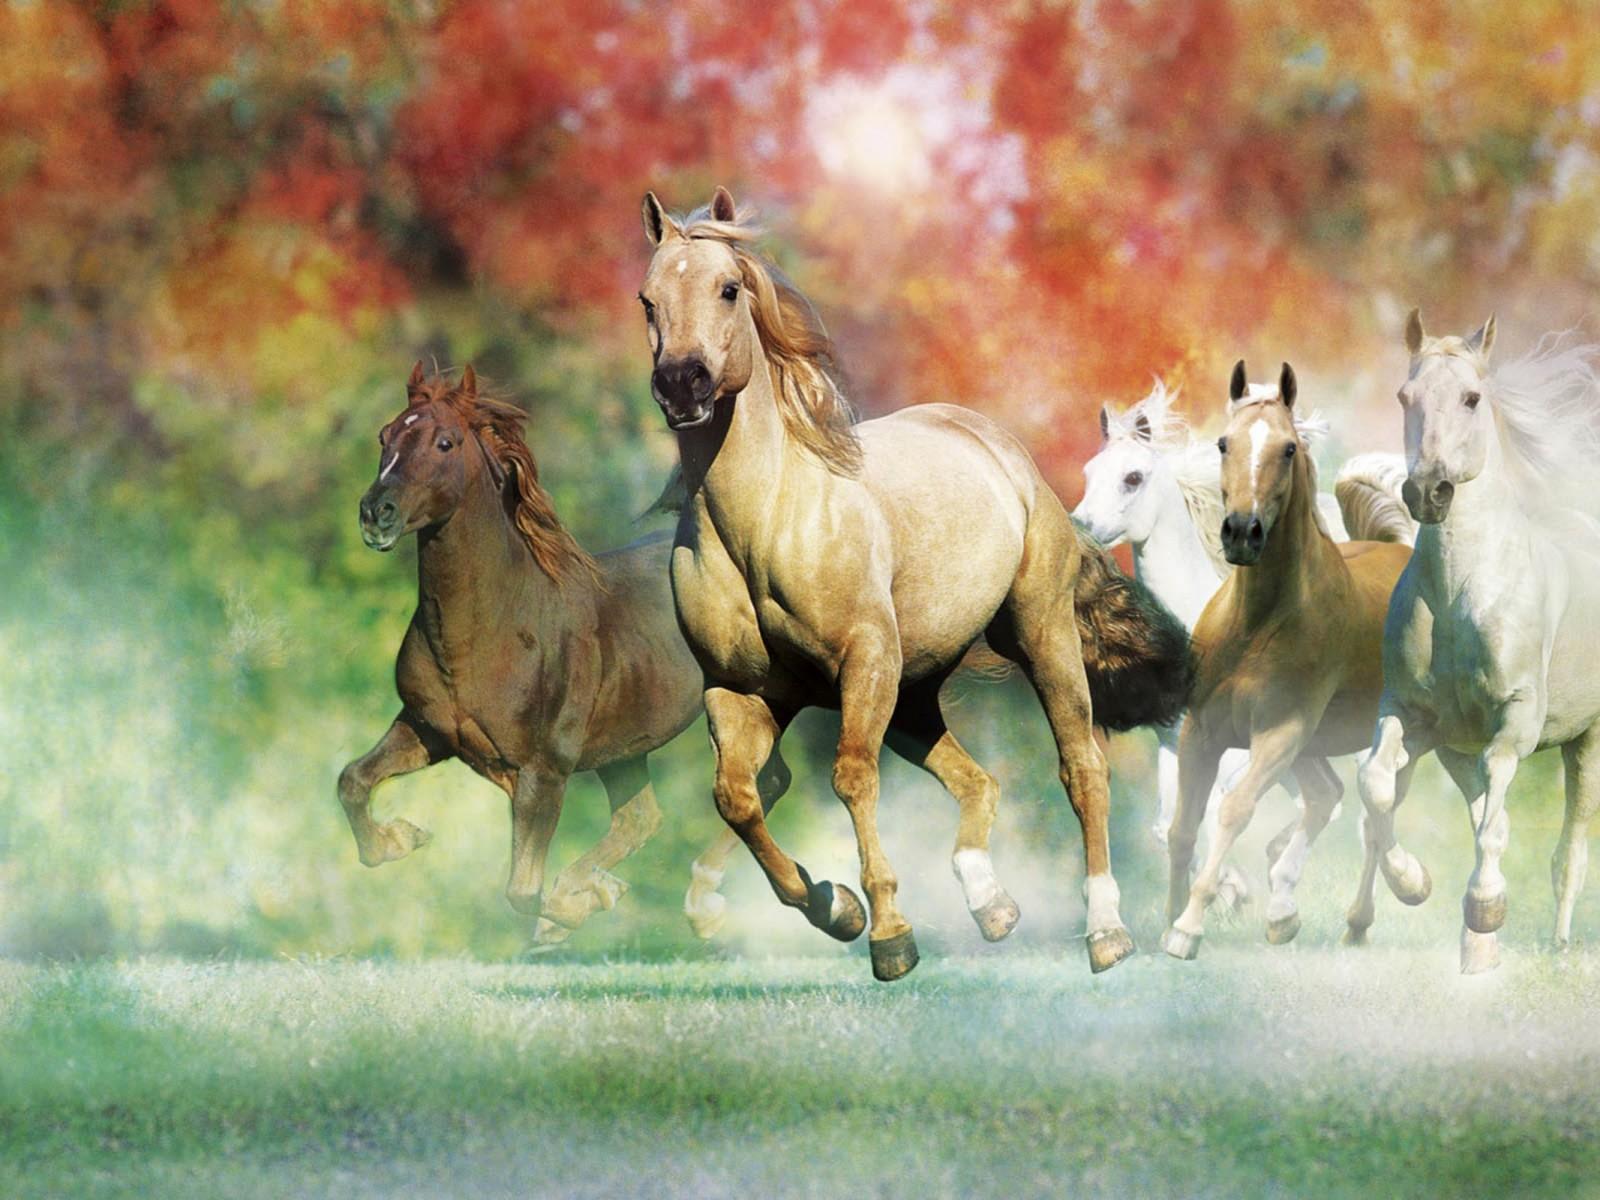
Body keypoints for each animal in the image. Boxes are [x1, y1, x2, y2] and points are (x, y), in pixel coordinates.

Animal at [338, 362, 784, 946]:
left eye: (445, 442)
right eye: (384, 436)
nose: (376, 514)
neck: (490, 630)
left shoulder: (543, 771)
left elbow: (522, 892)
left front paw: (576, 907)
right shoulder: (425, 729)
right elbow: (352, 780)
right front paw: (402, 838)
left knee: (761, 784)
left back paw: (704, 905)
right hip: (624, 750)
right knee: (642, 818)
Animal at [638, 186, 1190, 980]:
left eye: (729, 288)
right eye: (648, 299)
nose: (683, 385)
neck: (766, 521)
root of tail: (1006, 455)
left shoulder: (865, 661)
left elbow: (848, 779)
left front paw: (890, 935)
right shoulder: (738, 690)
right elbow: (737, 797)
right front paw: (835, 906)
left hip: (1040, 637)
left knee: (1082, 767)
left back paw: (1105, 932)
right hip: (915, 690)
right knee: (977, 781)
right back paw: (991, 905)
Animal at [1072, 381, 1412, 902]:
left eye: (1133, 477)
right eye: (1089, 473)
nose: (1078, 529)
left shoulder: (1241, 748)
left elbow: (1219, 808)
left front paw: (1227, 889)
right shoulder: (1177, 745)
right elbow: (1172, 825)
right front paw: (1229, 888)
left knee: (1371, 801)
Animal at [1160, 361, 1412, 958]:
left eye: (1289, 448)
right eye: (1224, 443)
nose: (1241, 532)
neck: (1255, 625)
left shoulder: (1281, 731)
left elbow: (1233, 810)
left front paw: (1188, 927)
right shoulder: (1201, 731)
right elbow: (1183, 828)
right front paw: (1166, 919)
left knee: (1376, 810)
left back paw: (1380, 904)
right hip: (1313, 748)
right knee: (1329, 797)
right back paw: (1284, 915)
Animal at [1351, 312, 1600, 973]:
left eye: (1471, 398)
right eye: (1404, 397)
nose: (1428, 492)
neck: (1461, 590)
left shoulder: (1516, 722)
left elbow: (1497, 819)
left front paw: (1486, 906)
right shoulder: (1410, 715)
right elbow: (1376, 785)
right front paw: (1413, 883)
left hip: (1587, 742)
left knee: (1568, 850)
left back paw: (1554, 942)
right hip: (1455, 750)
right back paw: (1475, 948)